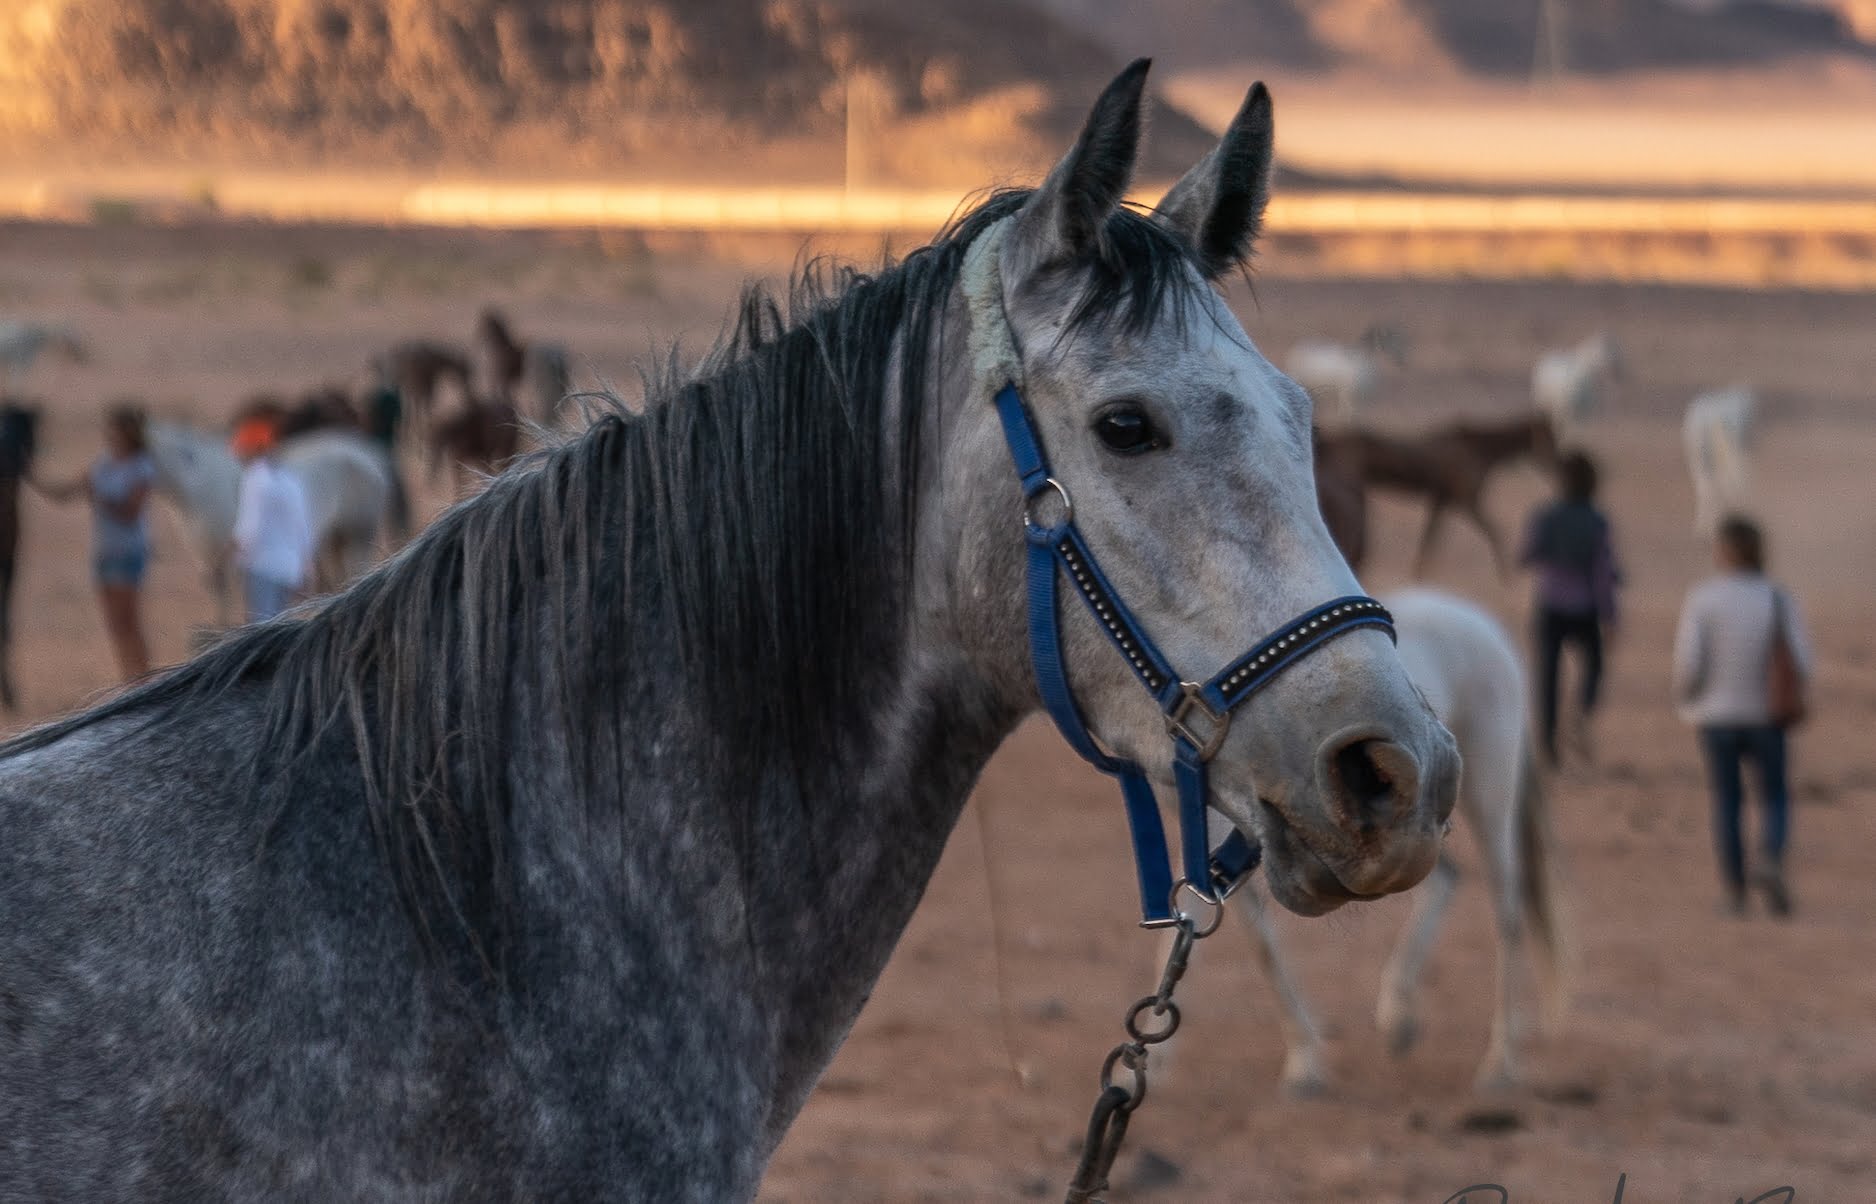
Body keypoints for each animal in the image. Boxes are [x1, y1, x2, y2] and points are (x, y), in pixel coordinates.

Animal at [144, 420, 397, 618]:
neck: (204, 487)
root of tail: (368, 454)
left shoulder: (237, 564)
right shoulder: (211, 562)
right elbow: (221, 602)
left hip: (359, 533)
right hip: (336, 538)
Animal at [1200, 585, 1568, 1095]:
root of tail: (1483, 624)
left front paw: (1306, 1064)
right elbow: (1239, 942)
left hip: (1489, 793)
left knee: (1507, 910)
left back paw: (1500, 1064)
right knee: (1448, 879)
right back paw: (1400, 1016)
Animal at [1320, 414, 1568, 577]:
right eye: (1548, 438)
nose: (1559, 464)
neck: (1479, 450)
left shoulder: (1442, 500)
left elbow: (1430, 539)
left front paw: (1418, 574)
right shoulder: (1467, 500)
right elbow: (1495, 531)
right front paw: (1507, 573)